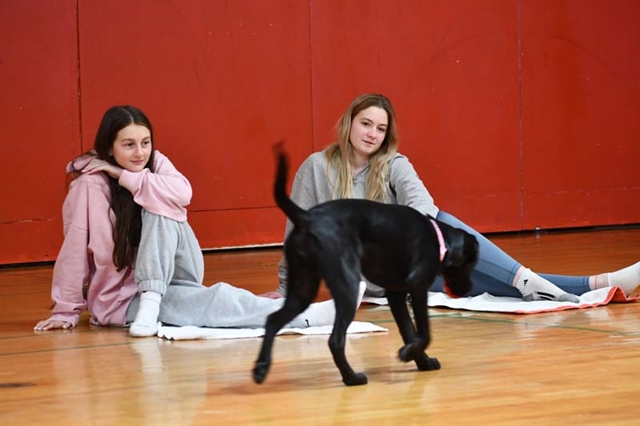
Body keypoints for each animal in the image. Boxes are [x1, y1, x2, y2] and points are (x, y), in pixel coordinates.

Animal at [252, 146, 478, 386]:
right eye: (470, 264)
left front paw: (420, 360)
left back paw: (261, 368)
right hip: (348, 287)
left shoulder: (396, 295)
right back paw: (352, 378)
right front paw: (410, 354)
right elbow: (424, 333)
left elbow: (409, 331)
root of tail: (307, 217)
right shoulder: (418, 287)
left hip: (303, 288)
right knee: (335, 340)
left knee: (273, 320)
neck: (438, 237)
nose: (468, 289)